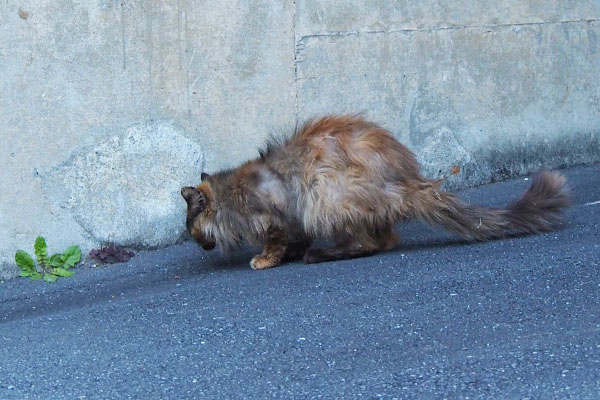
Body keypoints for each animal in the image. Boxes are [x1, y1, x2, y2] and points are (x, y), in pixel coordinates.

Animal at [180, 115, 568, 272]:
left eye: (191, 229)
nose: (197, 244)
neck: (232, 196)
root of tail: (406, 180)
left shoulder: (278, 214)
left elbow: (275, 242)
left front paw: (266, 259)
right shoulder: (294, 219)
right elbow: (295, 238)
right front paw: (292, 252)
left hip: (325, 195)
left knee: (369, 244)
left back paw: (321, 255)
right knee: (386, 239)